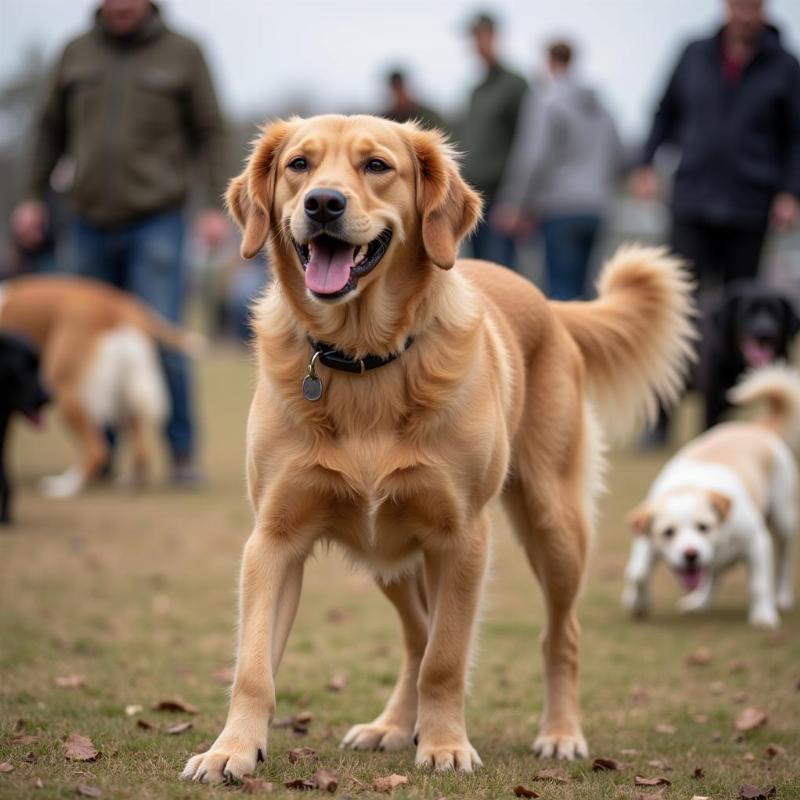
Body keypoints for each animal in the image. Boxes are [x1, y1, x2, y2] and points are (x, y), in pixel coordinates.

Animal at [181, 114, 692, 780]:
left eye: (376, 166)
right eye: (299, 165)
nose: (323, 203)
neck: (363, 359)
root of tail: (551, 306)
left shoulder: (462, 537)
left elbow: (447, 657)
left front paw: (446, 744)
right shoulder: (273, 539)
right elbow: (253, 667)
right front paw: (232, 749)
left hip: (554, 528)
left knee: (558, 635)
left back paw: (559, 732)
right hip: (392, 559)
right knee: (416, 635)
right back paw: (395, 725)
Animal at [620, 366, 796, 628]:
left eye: (703, 527)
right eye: (668, 532)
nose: (690, 554)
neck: (689, 487)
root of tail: (756, 428)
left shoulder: (756, 542)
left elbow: (758, 584)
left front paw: (763, 615)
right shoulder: (646, 539)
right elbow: (637, 574)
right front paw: (637, 603)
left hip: (783, 518)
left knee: (784, 557)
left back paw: (782, 596)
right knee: (713, 574)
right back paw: (700, 602)